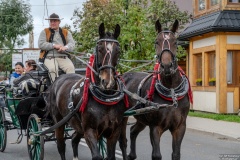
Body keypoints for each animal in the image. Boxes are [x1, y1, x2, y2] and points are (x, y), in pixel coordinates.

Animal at [44, 23, 128, 159]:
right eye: (99, 49)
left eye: (118, 50)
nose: (108, 82)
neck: (106, 98)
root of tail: (58, 79)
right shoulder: (89, 130)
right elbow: (97, 156)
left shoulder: (114, 131)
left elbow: (111, 156)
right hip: (59, 122)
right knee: (61, 146)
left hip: (78, 126)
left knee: (74, 139)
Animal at [122, 19, 191, 159]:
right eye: (156, 41)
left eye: (175, 42)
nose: (166, 66)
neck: (172, 92)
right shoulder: (155, 127)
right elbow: (156, 155)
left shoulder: (180, 127)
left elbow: (176, 154)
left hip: (141, 118)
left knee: (132, 131)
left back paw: (132, 154)